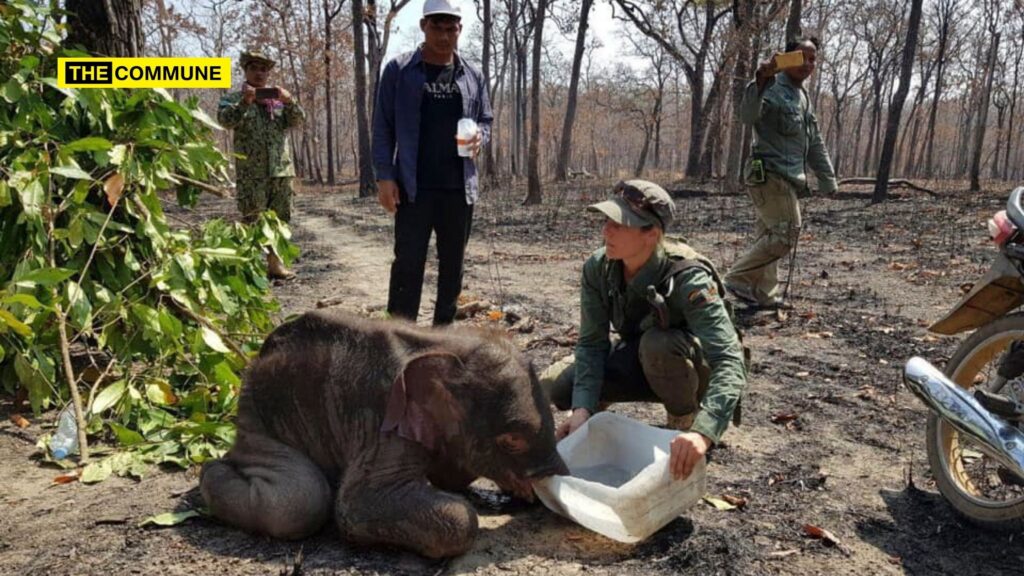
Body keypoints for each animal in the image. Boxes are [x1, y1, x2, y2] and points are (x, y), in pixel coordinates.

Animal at [199, 309, 569, 557]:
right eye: (512, 440)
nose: (549, 488)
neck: (446, 345)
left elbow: (451, 473)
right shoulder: (384, 423)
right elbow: (354, 506)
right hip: (258, 418)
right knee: (301, 501)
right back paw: (212, 468)